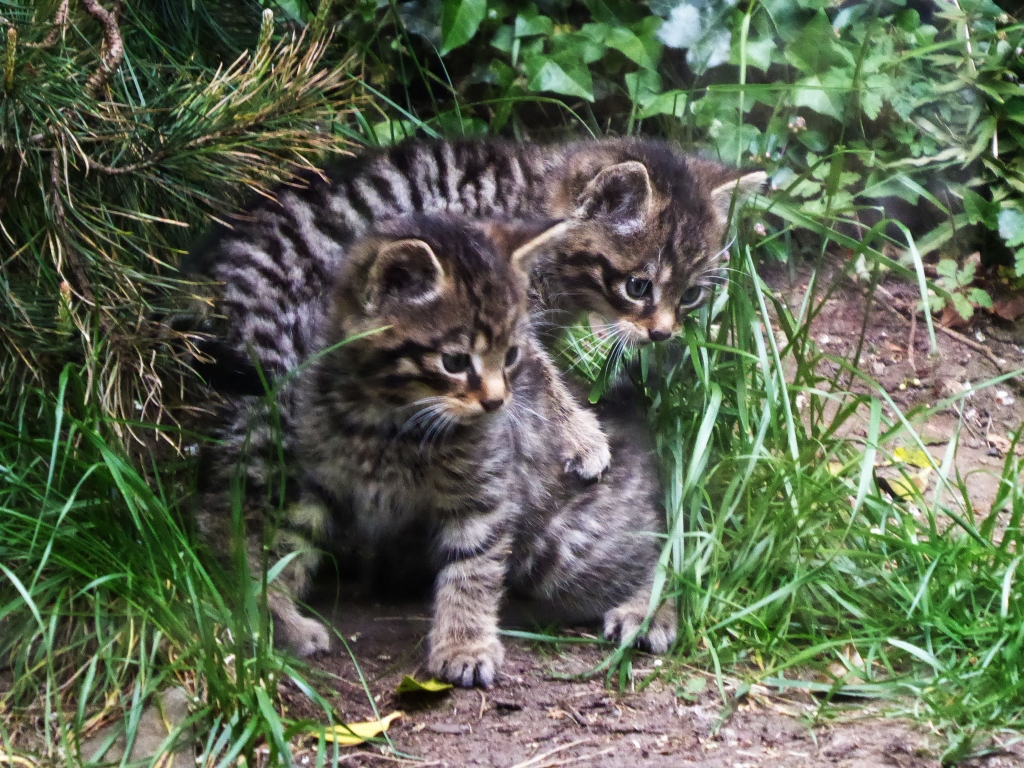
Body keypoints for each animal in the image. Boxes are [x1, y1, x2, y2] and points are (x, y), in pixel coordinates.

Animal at [196, 215, 673, 684]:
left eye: (511, 355)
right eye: (455, 362)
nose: (496, 402)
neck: (389, 422)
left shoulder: (484, 493)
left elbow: (473, 568)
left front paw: (465, 645)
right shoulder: (319, 481)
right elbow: (285, 546)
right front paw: (274, 615)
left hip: (562, 544)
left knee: (653, 555)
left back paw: (647, 612)